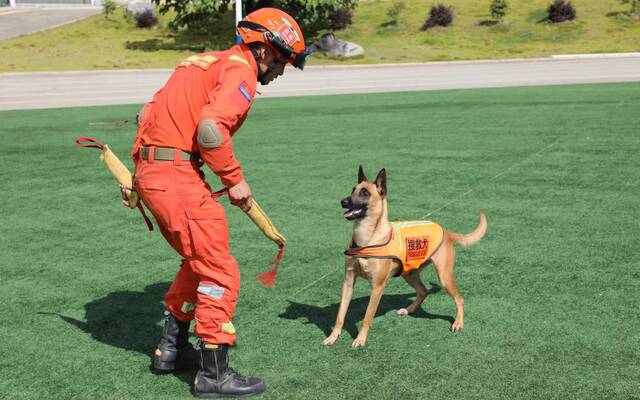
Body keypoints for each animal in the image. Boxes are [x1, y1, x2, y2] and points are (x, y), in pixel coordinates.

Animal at [322, 166, 488, 346]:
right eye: (353, 190)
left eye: (364, 193)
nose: (343, 202)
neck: (367, 239)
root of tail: (446, 231)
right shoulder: (348, 282)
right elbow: (340, 315)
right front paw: (332, 337)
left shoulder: (377, 287)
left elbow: (367, 317)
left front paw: (360, 339)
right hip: (408, 273)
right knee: (423, 291)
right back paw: (409, 310)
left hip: (444, 276)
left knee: (459, 299)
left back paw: (458, 323)